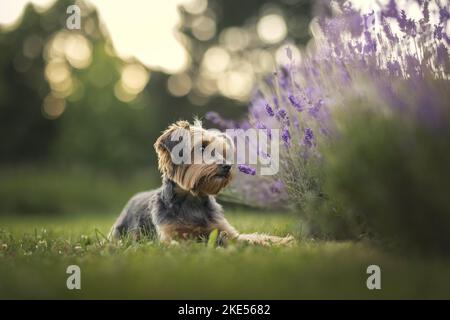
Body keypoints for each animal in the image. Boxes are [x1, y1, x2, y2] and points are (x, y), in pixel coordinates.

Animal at [107, 119, 294, 246]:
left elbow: (250, 237)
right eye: (202, 147)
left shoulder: (224, 230)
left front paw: (282, 241)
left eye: (223, 152)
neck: (192, 199)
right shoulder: (170, 235)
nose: (227, 166)